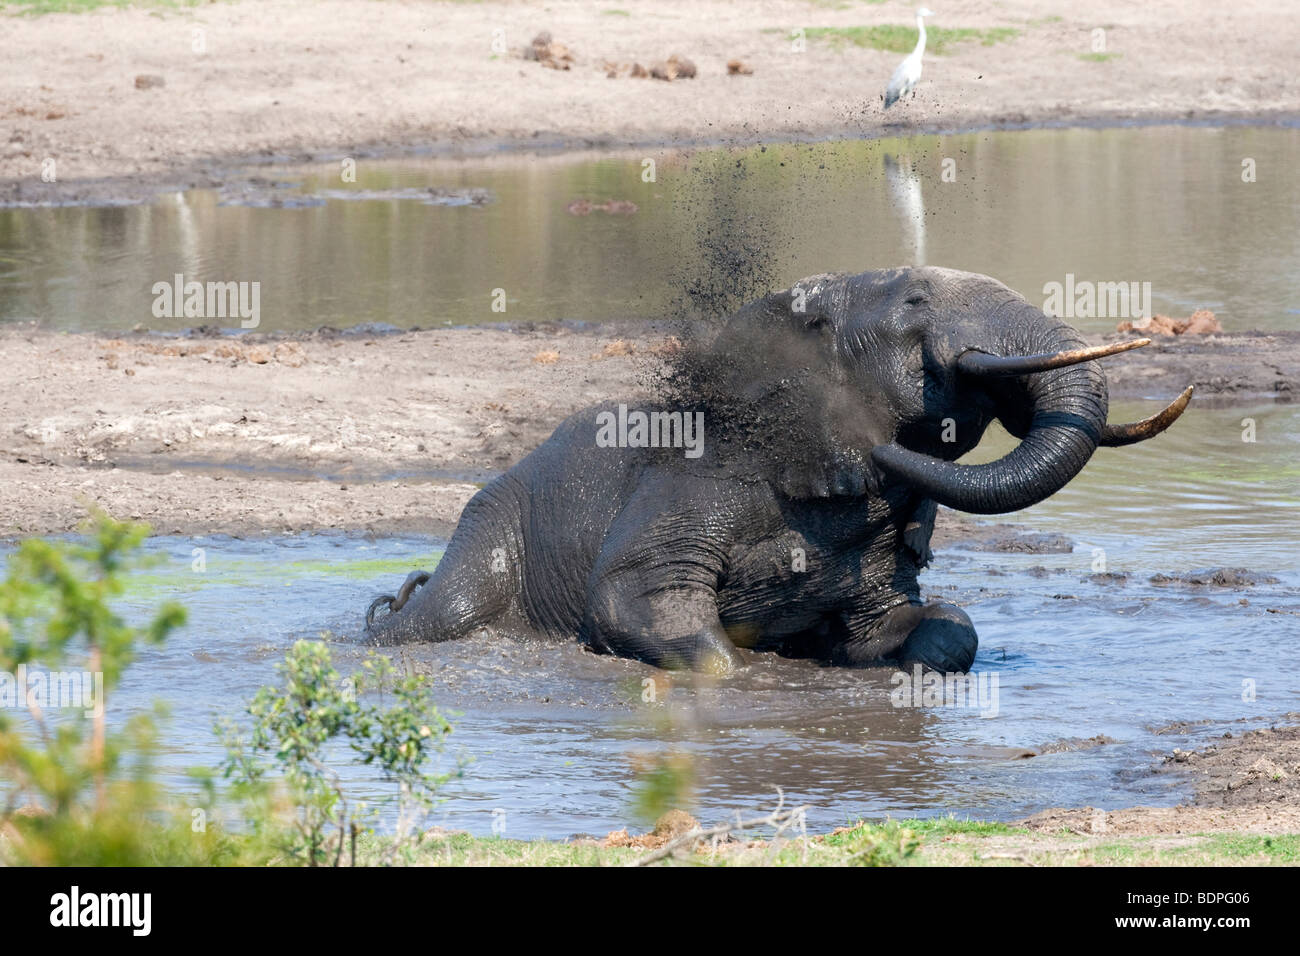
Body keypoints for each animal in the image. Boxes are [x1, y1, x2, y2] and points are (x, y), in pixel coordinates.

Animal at [361, 265, 1190, 676]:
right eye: (917, 300)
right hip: (488, 528)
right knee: (447, 612)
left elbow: (934, 630)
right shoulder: (699, 474)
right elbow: (640, 598)